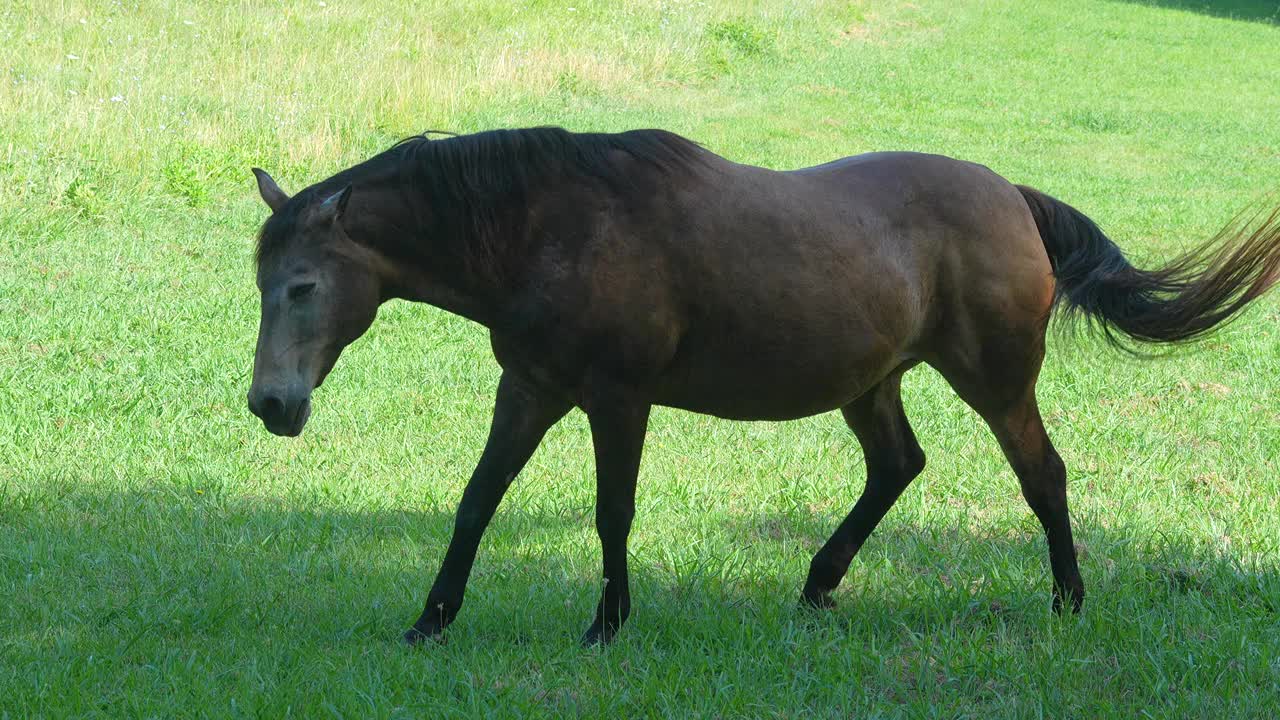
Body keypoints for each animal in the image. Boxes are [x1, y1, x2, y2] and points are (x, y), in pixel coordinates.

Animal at [247, 126, 1280, 640]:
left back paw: (1066, 602)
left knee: (1044, 477)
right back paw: (819, 586)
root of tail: (1010, 197)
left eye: (302, 286)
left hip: (993, 380)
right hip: (873, 382)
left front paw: (607, 624)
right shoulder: (531, 390)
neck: (550, 224)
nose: (271, 405)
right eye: (262, 283)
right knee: (898, 467)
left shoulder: (617, 399)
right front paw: (431, 620)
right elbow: (477, 500)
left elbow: (611, 513)